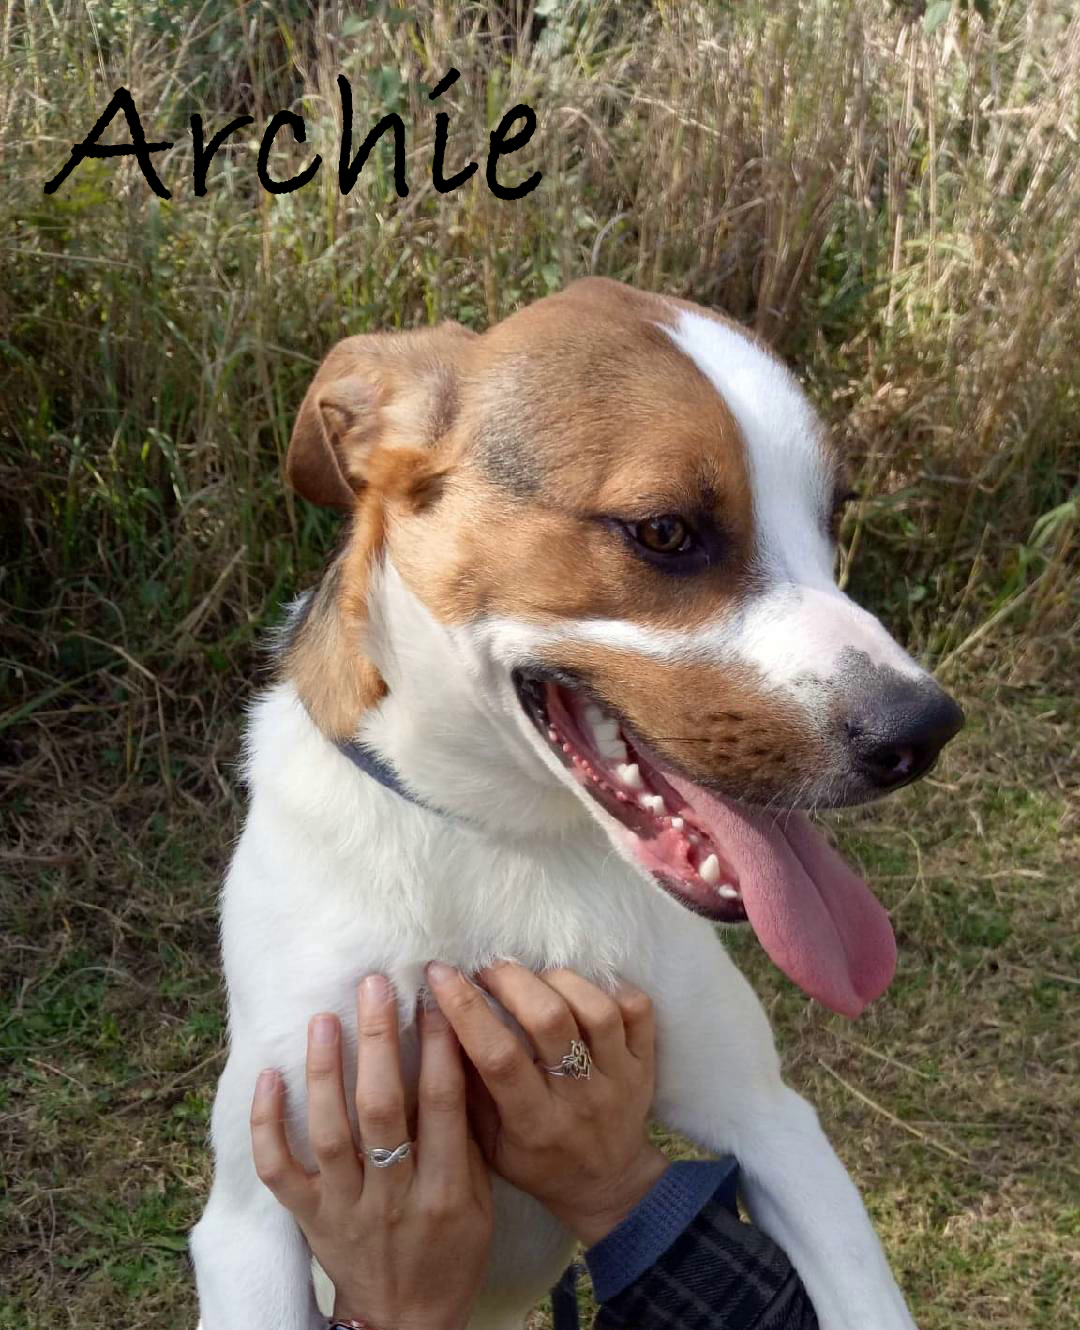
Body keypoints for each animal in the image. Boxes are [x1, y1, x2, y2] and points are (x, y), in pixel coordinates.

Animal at [190, 277, 963, 1330]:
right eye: (666, 531)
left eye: (834, 517)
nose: (926, 730)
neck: (501, 848)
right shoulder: (253, 1218)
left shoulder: (772, 1123)